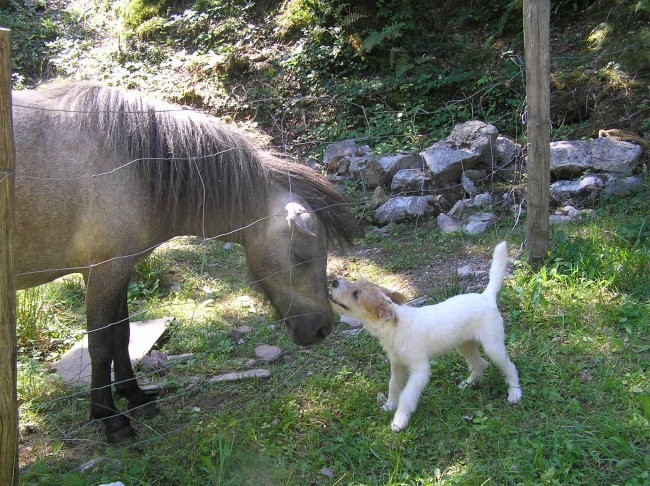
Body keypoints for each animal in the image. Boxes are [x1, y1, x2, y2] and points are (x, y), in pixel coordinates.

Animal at [11, 82, 354, 440]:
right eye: (301, 255)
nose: (324, 329)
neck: (132, 164)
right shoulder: (104, 272)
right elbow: (101, 345)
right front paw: (110, 418)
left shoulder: (121, 271)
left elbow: (122, 336)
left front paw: (135, 396)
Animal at [330, 241, 520, 430]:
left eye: (356, 294)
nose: (333, 282)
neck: (394, 326)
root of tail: (486, 297)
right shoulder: (397, 364)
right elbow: (394, 386)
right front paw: (389, 406)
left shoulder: (420, 369)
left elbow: (406, 395)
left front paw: (399, 420)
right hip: (464, 345)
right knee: (480, 364)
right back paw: (468, 384)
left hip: (493, 347)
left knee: (510, 367)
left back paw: (514, 393)